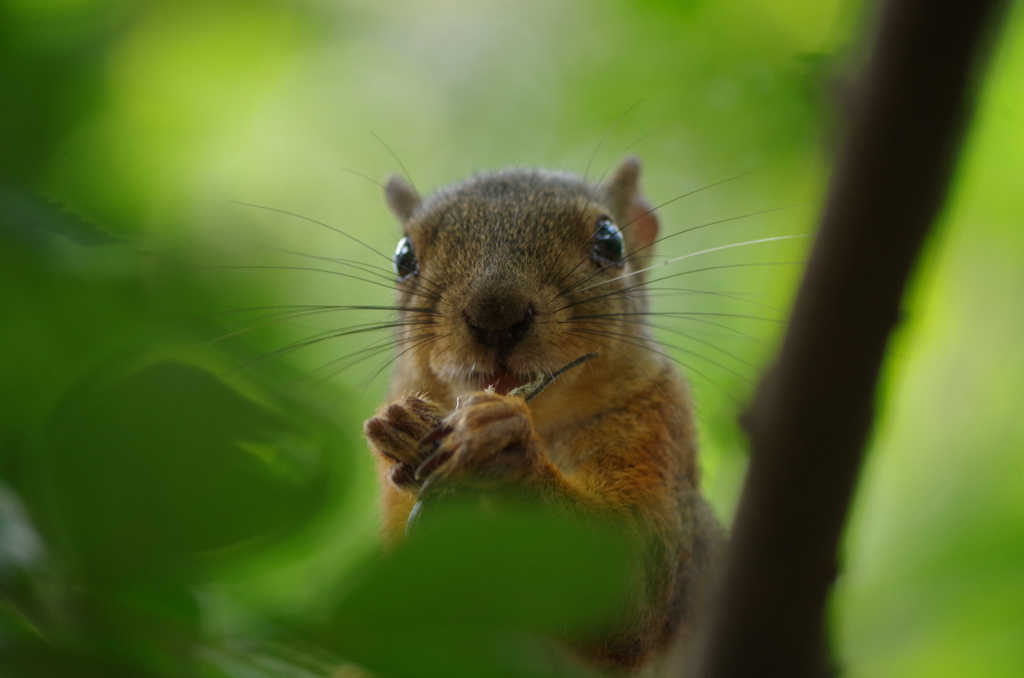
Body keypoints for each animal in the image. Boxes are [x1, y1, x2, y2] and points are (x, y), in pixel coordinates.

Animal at [364, 157, 724, 675]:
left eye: (610, 242)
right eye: (403, 257)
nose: (496, 315)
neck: (542, 420)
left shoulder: (659, 426)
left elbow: (630, 591)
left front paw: (503, 445)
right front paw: (405, 429)